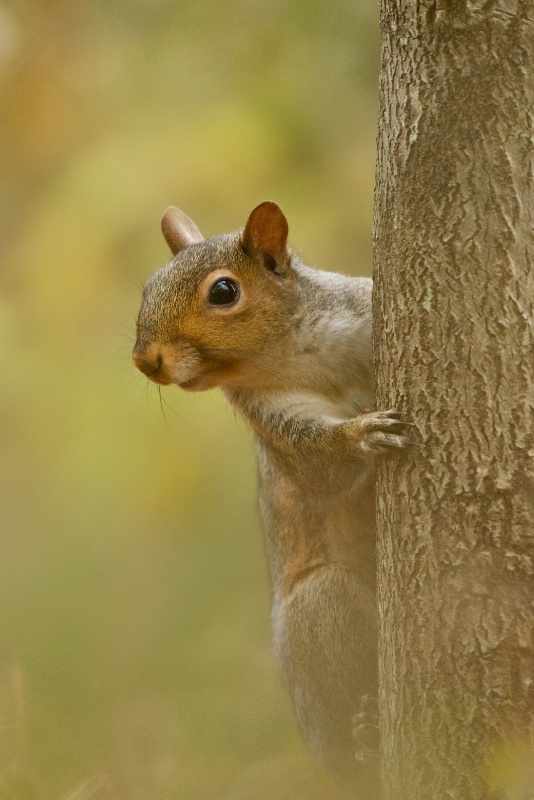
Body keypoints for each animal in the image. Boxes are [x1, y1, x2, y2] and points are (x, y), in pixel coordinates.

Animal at [134, 203, 410, 796]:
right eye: (147, 287)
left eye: (223, 292)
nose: (144, 360)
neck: (289, 354)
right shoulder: (271, 415)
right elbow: (319, 468)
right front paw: (363, 434)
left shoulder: (362, 314)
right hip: (320, 609)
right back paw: (366, 734)